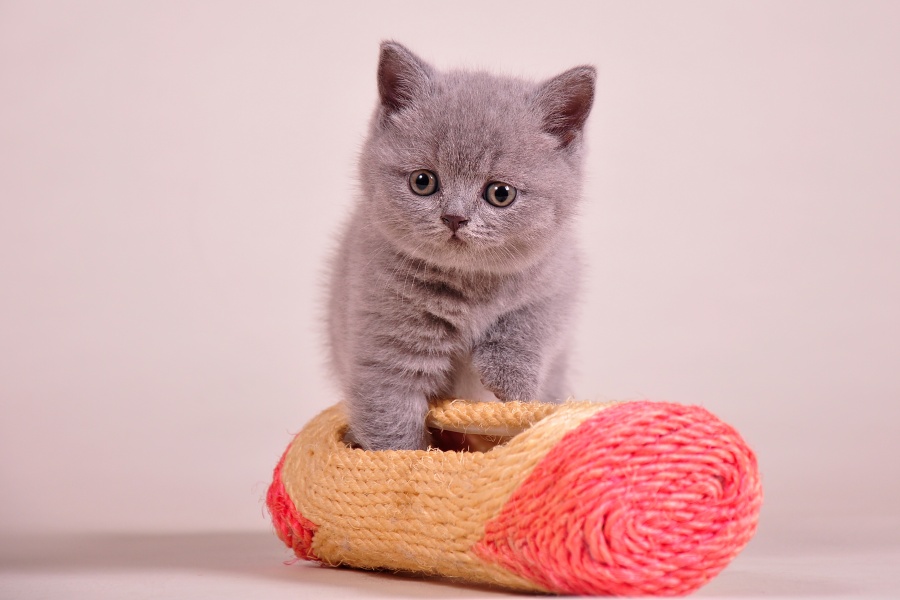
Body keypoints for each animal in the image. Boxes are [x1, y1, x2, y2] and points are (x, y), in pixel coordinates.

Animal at [327, 41, 595, 450]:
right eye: (423, 181)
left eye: (500, 193)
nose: (454, 217)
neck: (471, 285)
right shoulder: (383, 340)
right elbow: (391, 424)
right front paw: (403, 461)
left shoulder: (560, 272)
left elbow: (536, 319)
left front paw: (510, 380)